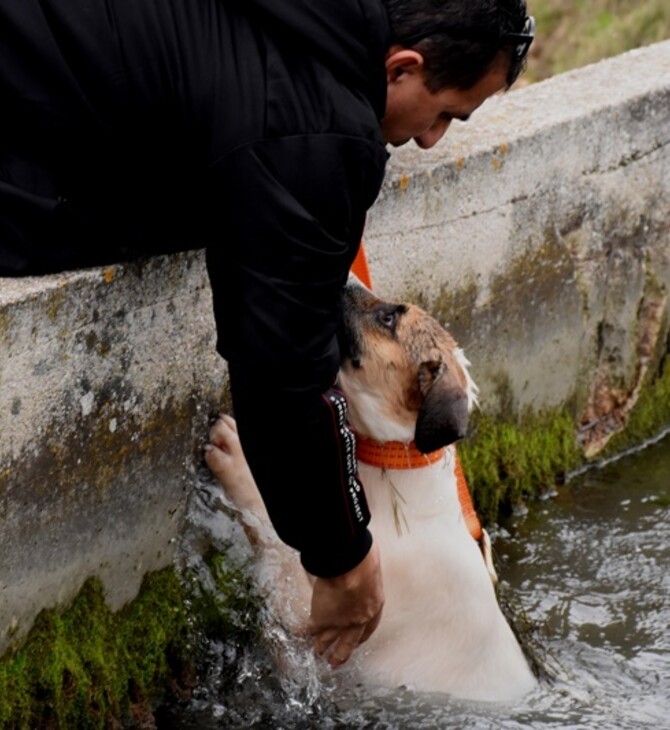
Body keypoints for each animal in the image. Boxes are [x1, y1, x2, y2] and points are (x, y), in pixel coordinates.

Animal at [207, 278, 540, 700]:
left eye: (389, 318)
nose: (345, 277)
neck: (396, 459)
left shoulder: (312, 619)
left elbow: (271, 533)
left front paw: (235, 455)